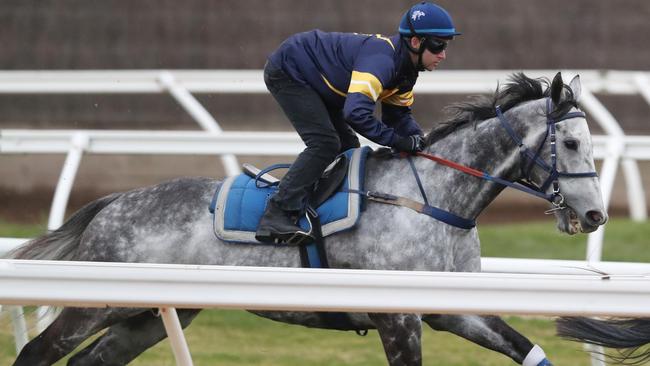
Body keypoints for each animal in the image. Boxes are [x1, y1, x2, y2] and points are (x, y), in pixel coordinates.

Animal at [7, 72, 604, 366]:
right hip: (96, 304)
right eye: (573, 142)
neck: (434, 199)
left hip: (148, 316)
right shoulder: (399, 317)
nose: (597, 214)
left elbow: (530, 351)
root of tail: (114, 202)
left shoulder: (452, 310)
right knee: (37, 352)